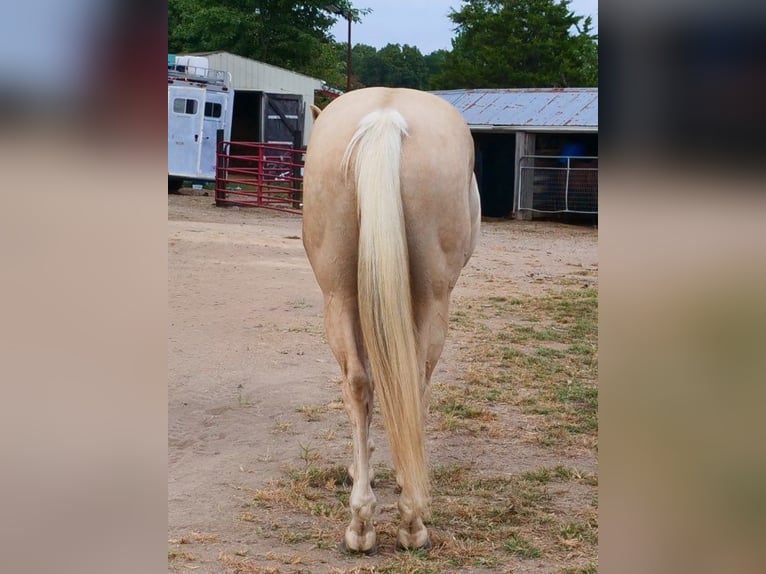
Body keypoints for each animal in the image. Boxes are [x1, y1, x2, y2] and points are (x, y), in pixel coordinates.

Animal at [302, 87, 480, 553]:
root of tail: (385, 117)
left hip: (339, 295)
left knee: (358, 383)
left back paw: (361, 523)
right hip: (433, 300)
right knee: (412, 380)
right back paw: (412, 520)